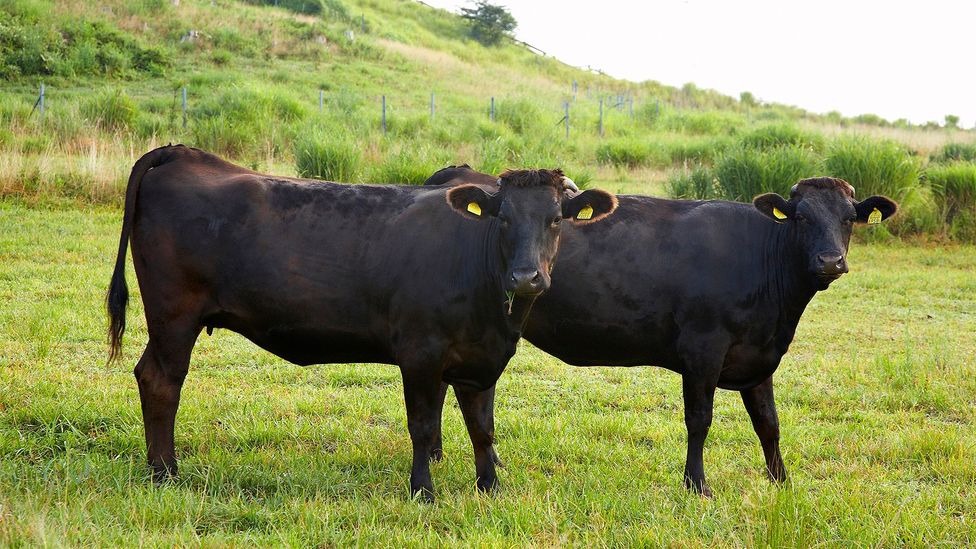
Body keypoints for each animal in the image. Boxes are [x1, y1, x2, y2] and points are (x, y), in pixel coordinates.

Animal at [107, 146, 616, 500]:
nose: (526, 276)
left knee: (150, 375)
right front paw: (422, 491)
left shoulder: (481, 359)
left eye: (556, 219)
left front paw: (489, 487)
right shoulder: (420, 354)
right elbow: (423, 426)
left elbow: (482, 427)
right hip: (174, 315)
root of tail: (184, 152)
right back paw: (165, 472)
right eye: (504, 217)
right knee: (162, 380)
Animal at [428, 167, 900, 496]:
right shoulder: (703, 350)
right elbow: (700, 420)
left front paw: (781, 482)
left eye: (848, 218)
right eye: (801, 217)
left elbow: (769, 423)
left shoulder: (759, 356)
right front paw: (697, 485)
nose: (830, 261)